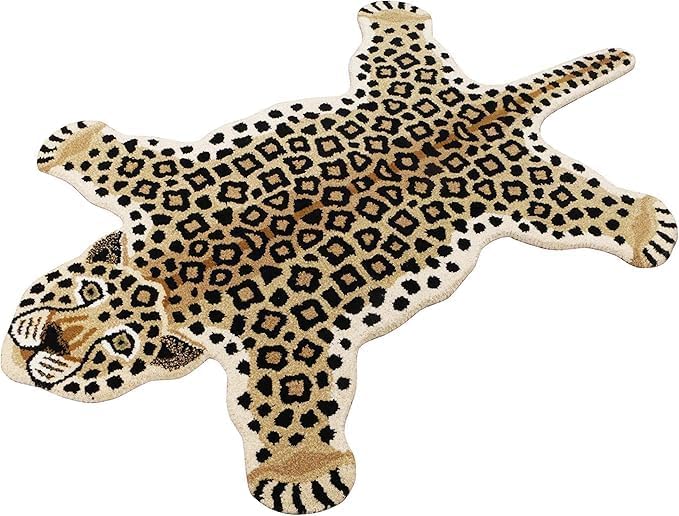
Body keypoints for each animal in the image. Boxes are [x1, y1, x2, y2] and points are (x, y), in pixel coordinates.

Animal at [2, 2, 676, 513]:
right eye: (85, 294)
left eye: (118, 345)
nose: (52, 343)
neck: (168, 275)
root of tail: (487, 104)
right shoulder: (165, 187)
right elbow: (125, 159)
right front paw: (73, 144)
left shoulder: (283, 343)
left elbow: (287, 406)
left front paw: (302, 473)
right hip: (400, 84)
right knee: (404, 52)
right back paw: (394, 13)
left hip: (528, 195)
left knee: (592, 208)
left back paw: (647, 224)